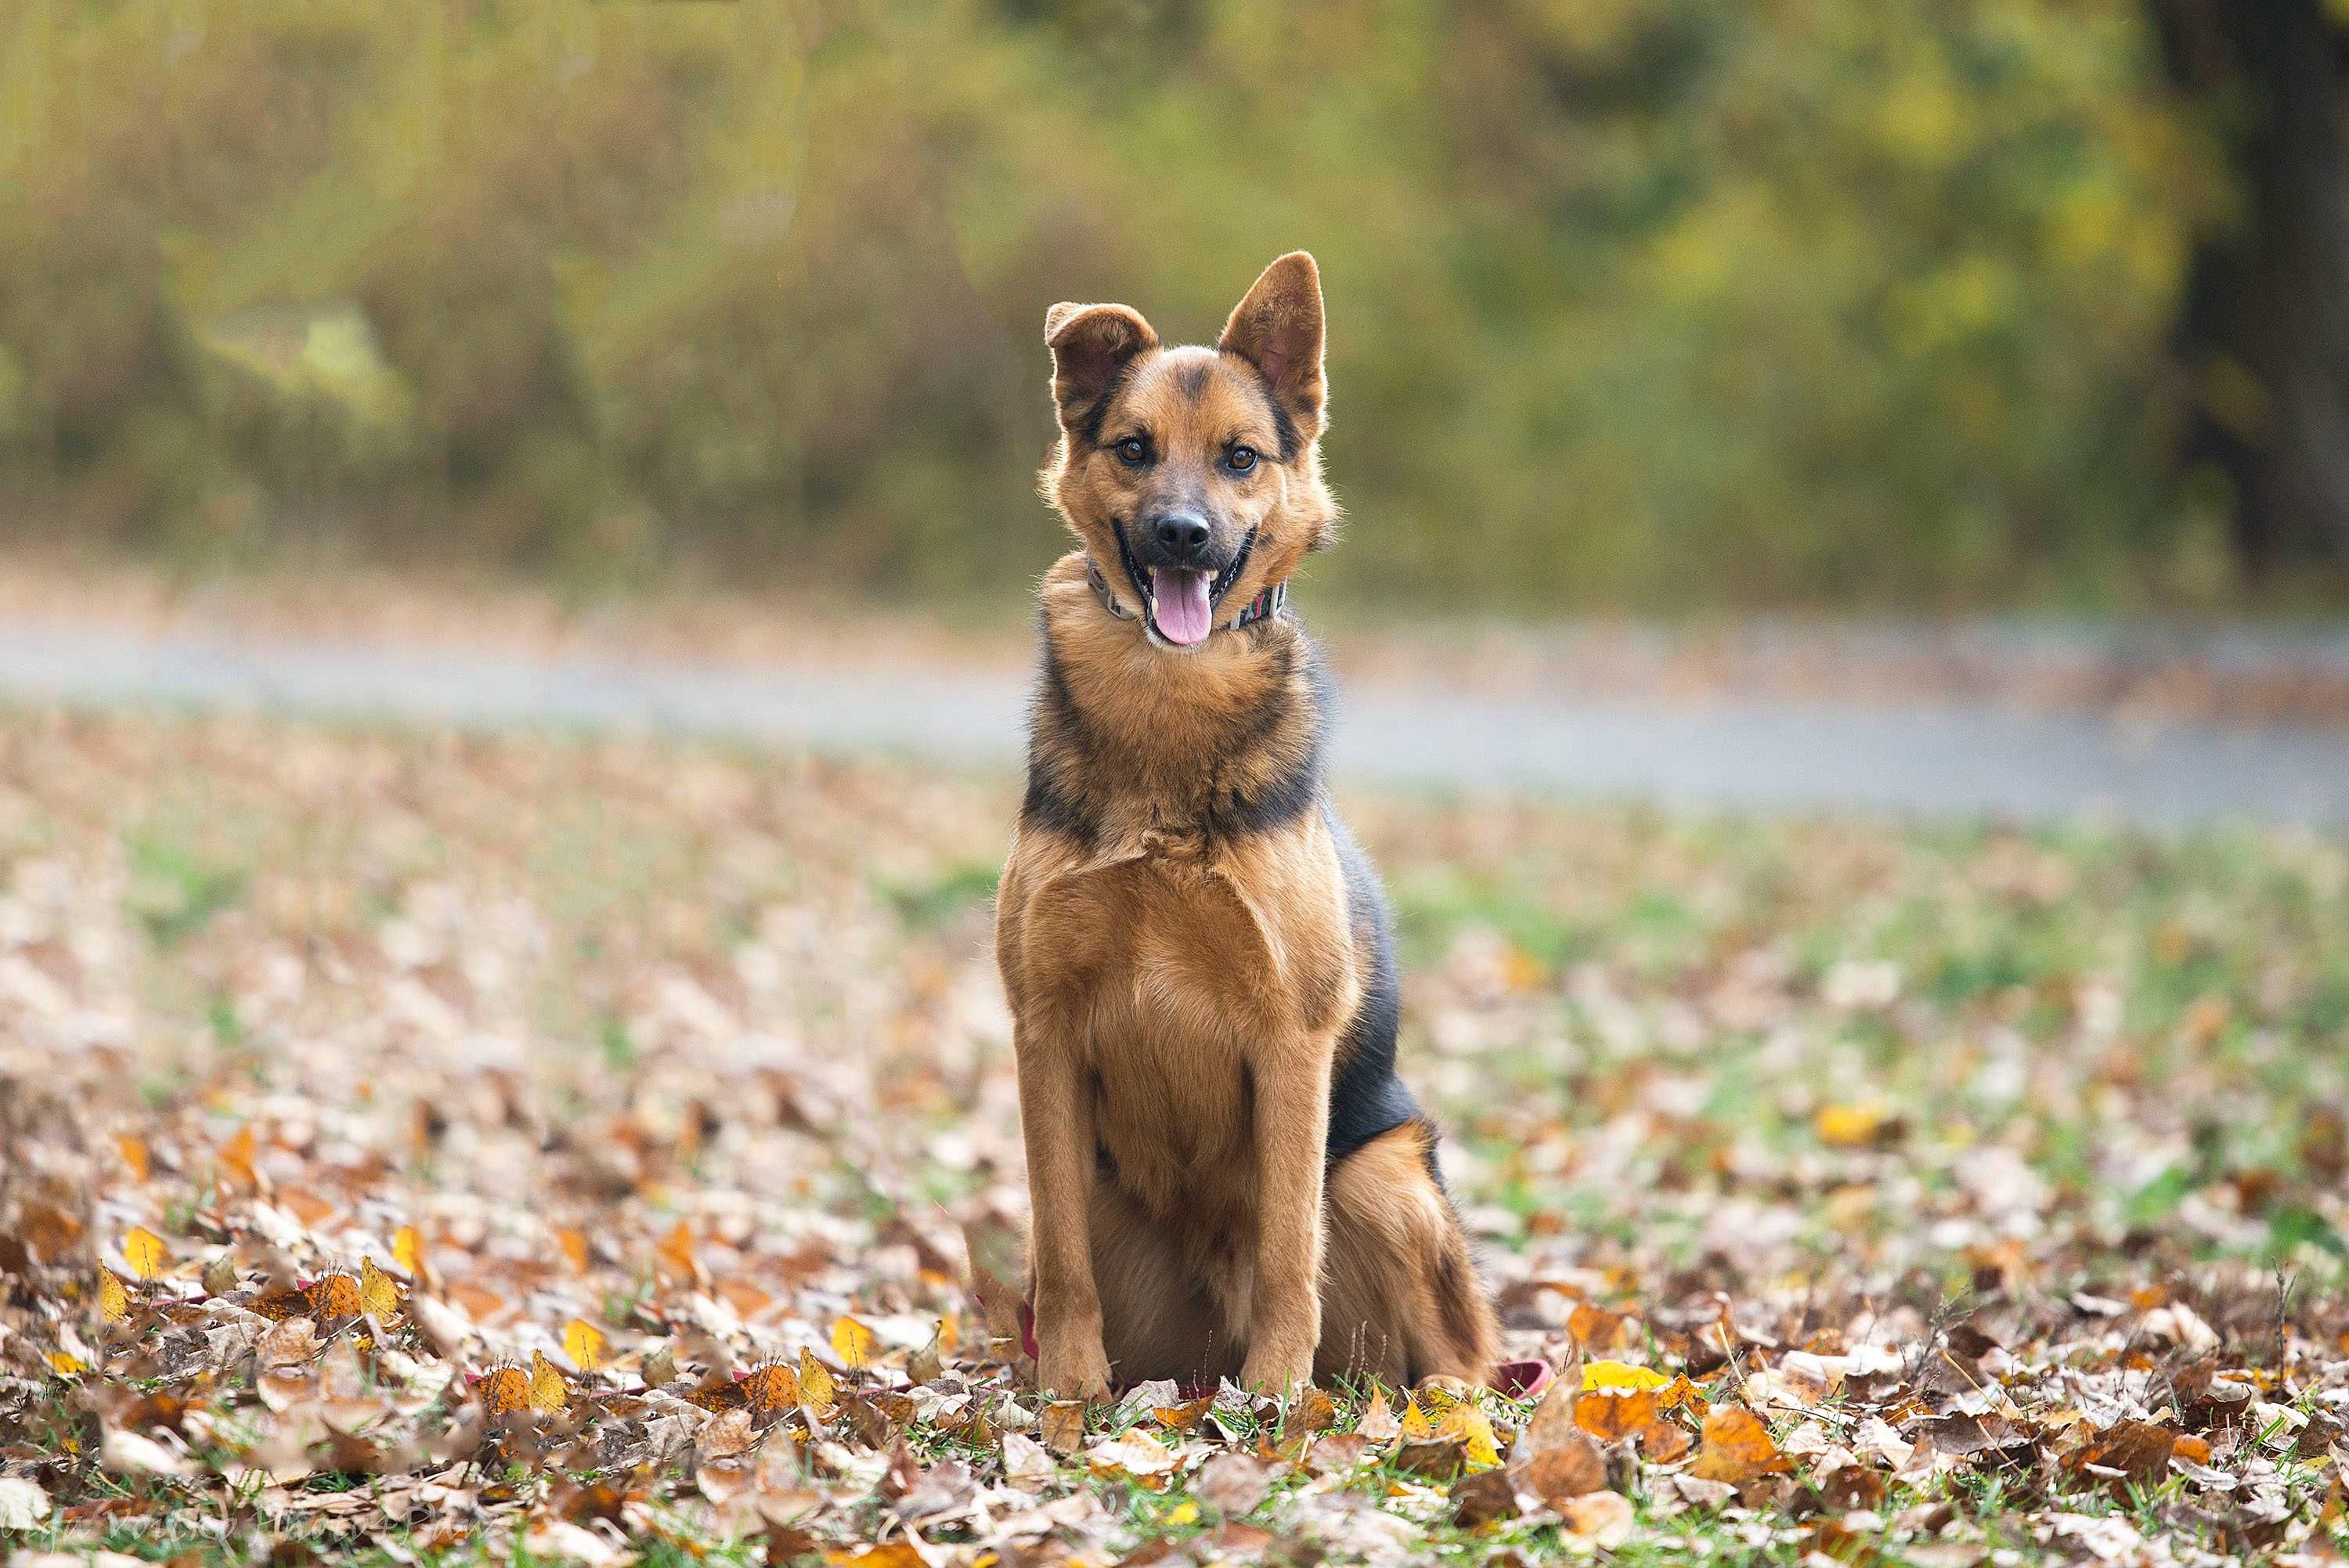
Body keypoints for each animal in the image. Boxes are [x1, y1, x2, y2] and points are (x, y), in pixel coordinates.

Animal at [991, 254, 1503, 1399]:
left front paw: (1275, 1398)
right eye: (1135, 450)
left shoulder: (1290, 1041)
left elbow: (1285, 1247)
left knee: (1460, 1351)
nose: (1183, 535)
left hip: (1386, 1174)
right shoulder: (1044, 1033)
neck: (1168, 708)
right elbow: (1061, 1257)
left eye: (1239, 458)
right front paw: (1066, 1400)